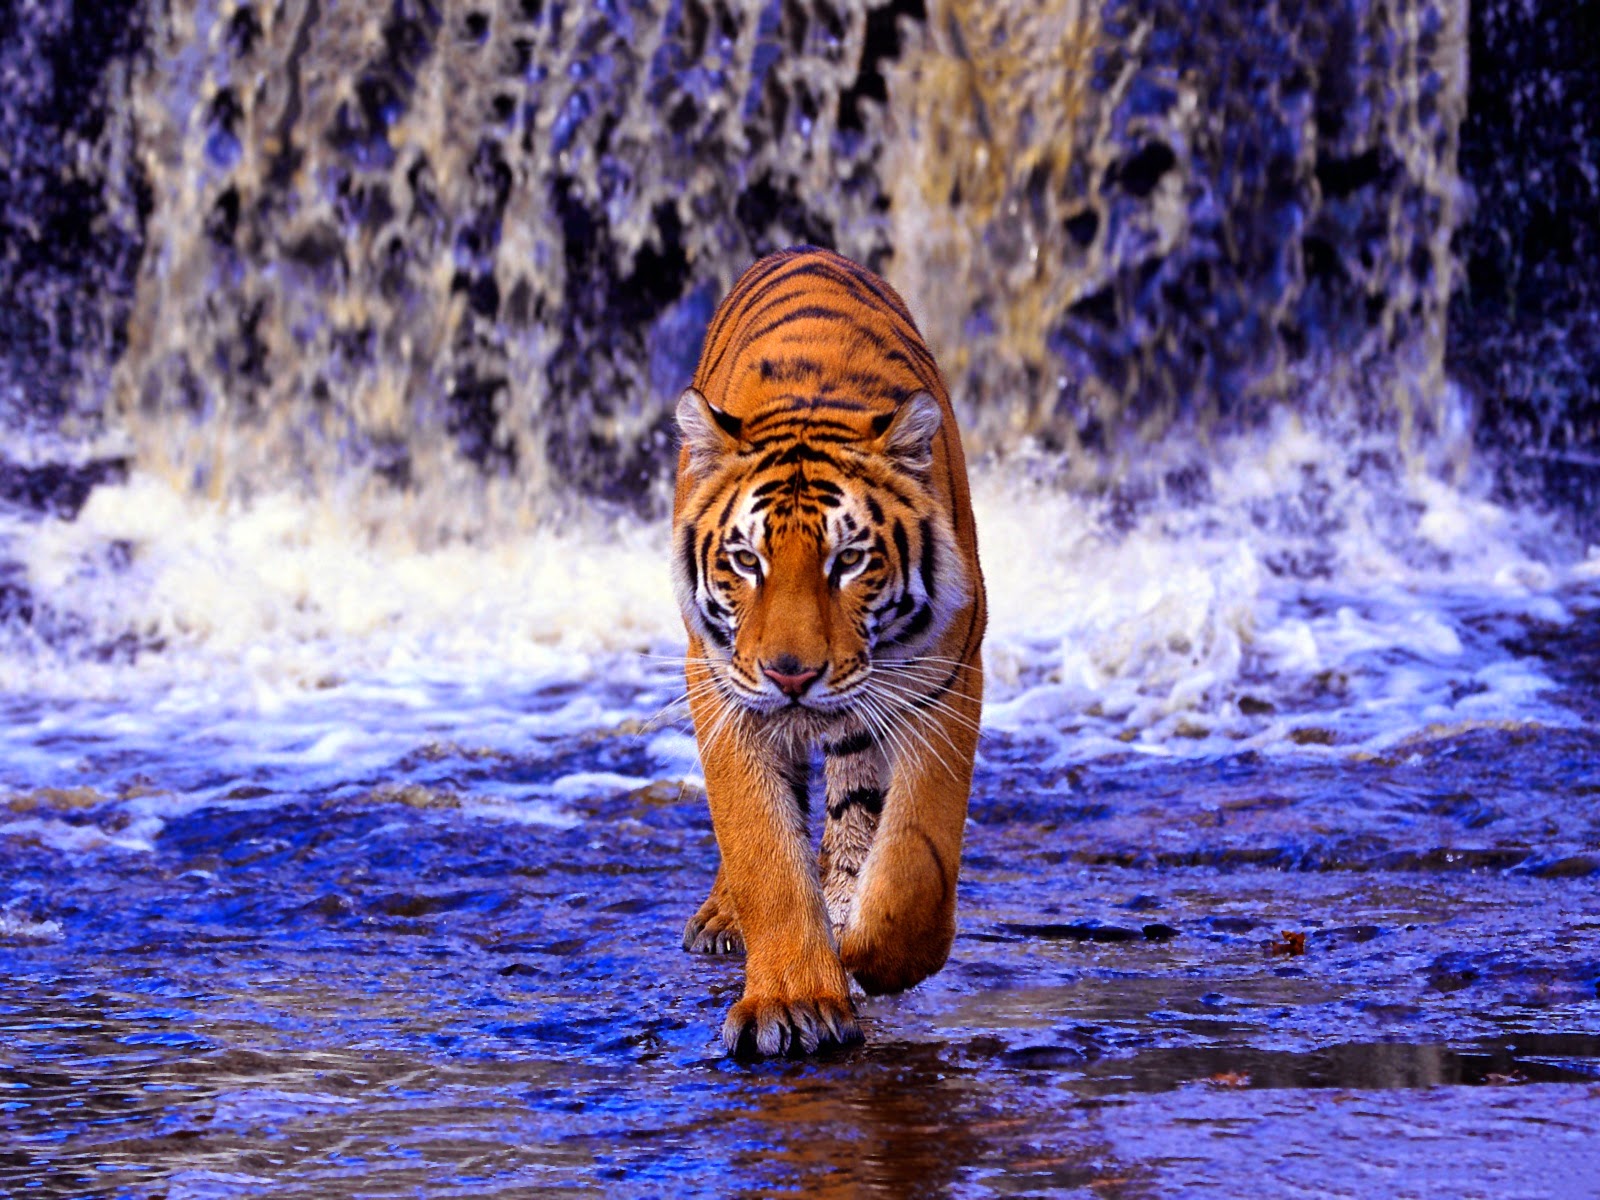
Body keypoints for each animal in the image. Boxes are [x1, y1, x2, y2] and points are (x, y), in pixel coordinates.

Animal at [672, 246, 986, 1057]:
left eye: (848, 561)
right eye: (745, 560)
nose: (791, 675)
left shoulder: (944, 677)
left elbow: (915, 856)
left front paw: (875, 955)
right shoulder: (721, 686)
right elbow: (761, 846)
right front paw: (793, 1001)